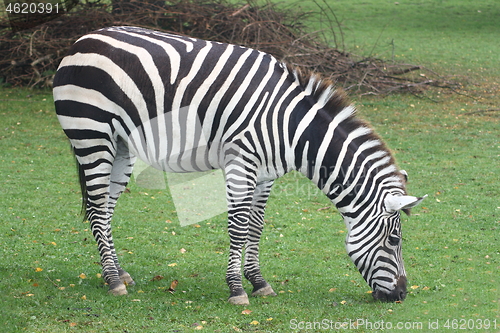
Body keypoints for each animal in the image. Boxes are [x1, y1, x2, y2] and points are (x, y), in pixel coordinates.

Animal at [51, 26, 426, 304]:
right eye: (395, 239)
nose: (401, 295)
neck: (290, 126)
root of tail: (84, 39)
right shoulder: (241, 162)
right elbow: (238, 226)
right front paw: (236, 289)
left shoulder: (266, 174)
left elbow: (256, 226)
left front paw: (258, 282)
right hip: (91, 135)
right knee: (96, 207)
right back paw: (113, 280)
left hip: (121, 145)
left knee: (106, 208)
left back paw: (118, 273)